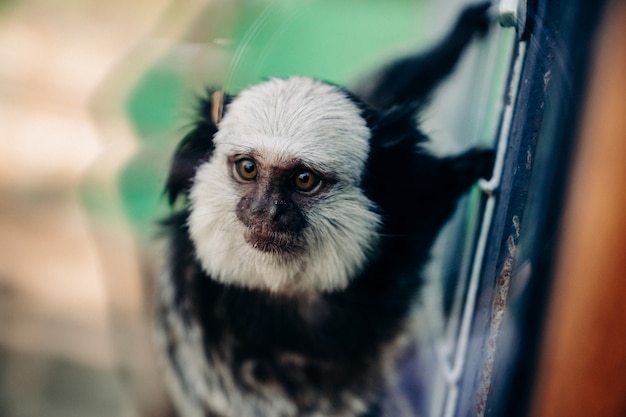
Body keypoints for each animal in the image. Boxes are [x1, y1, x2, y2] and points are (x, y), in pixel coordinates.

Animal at [157, 3, 498, 416]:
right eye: (248, 169)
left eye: (304, 179)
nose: (265, 211)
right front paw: (455, 172)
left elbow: (385, 92)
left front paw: (456, 38)